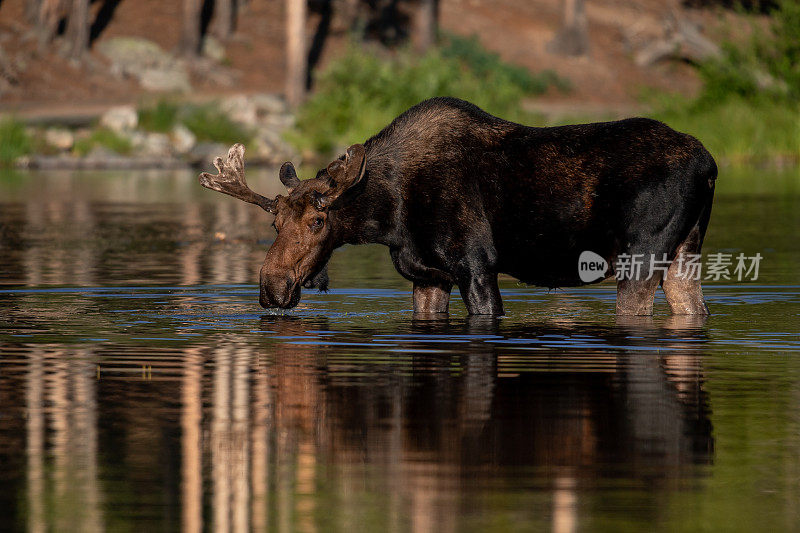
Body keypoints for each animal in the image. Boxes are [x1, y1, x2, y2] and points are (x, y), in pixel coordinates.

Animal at [197, 96, 716, 316]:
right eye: (274, 223)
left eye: (320, 220)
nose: (272, 289)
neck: (388, 217)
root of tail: (709, 164)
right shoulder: (429, 276)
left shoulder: (476, 266)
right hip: (684, 256)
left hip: (640, 257)